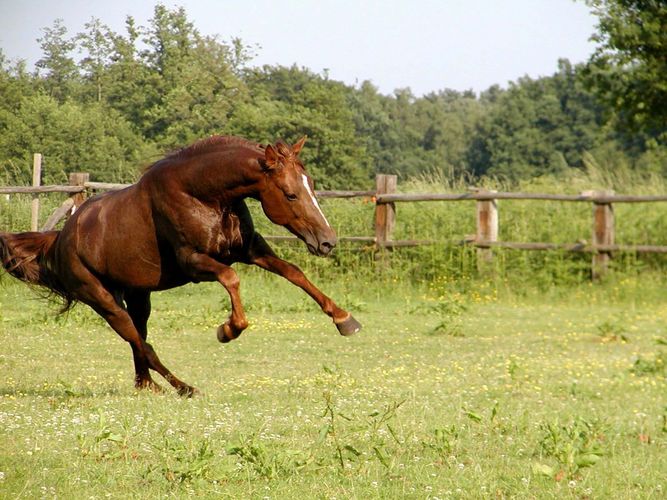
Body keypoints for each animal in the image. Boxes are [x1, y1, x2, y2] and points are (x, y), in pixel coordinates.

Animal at [0, 135, 362, 396]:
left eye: (311, 185)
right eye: (290, 194)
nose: (328, 241)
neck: (203, 194)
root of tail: (60, 240)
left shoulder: (250, 249)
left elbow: (294, 273)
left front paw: (345, 319)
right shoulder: (194, 263)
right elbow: (231, 278)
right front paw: (228, 329)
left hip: (137, 296)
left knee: (139, 340)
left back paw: (148, 387)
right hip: (102, 300)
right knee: (142, 344)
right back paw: (184, 387)